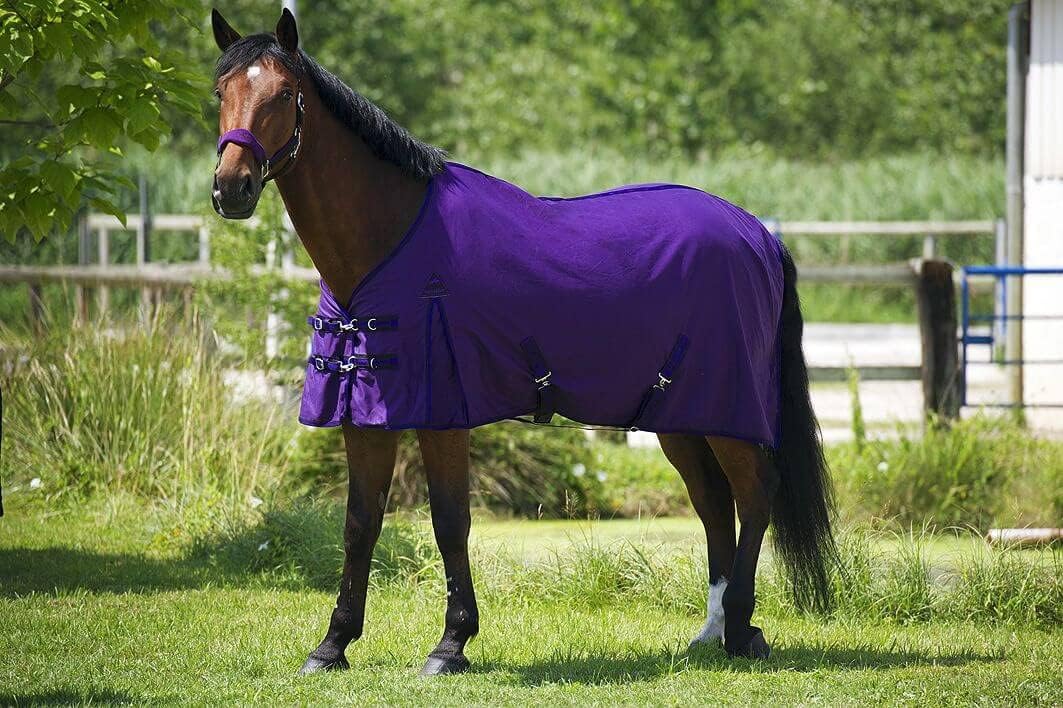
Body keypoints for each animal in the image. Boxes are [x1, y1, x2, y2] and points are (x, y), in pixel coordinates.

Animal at [209, 9, 836, 676]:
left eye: (283, 94)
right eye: (221, 92)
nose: (231, 188)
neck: (392, 239)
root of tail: (758, 234)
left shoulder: (440, 413)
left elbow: (449, 521)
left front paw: (451, 644)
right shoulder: (365, 413)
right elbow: (359, 523)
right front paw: (332, 645)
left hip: (726, 412)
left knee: (756, 494)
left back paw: (743, 629)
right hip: (681, 414)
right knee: (715, 504)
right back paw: (711, 632)